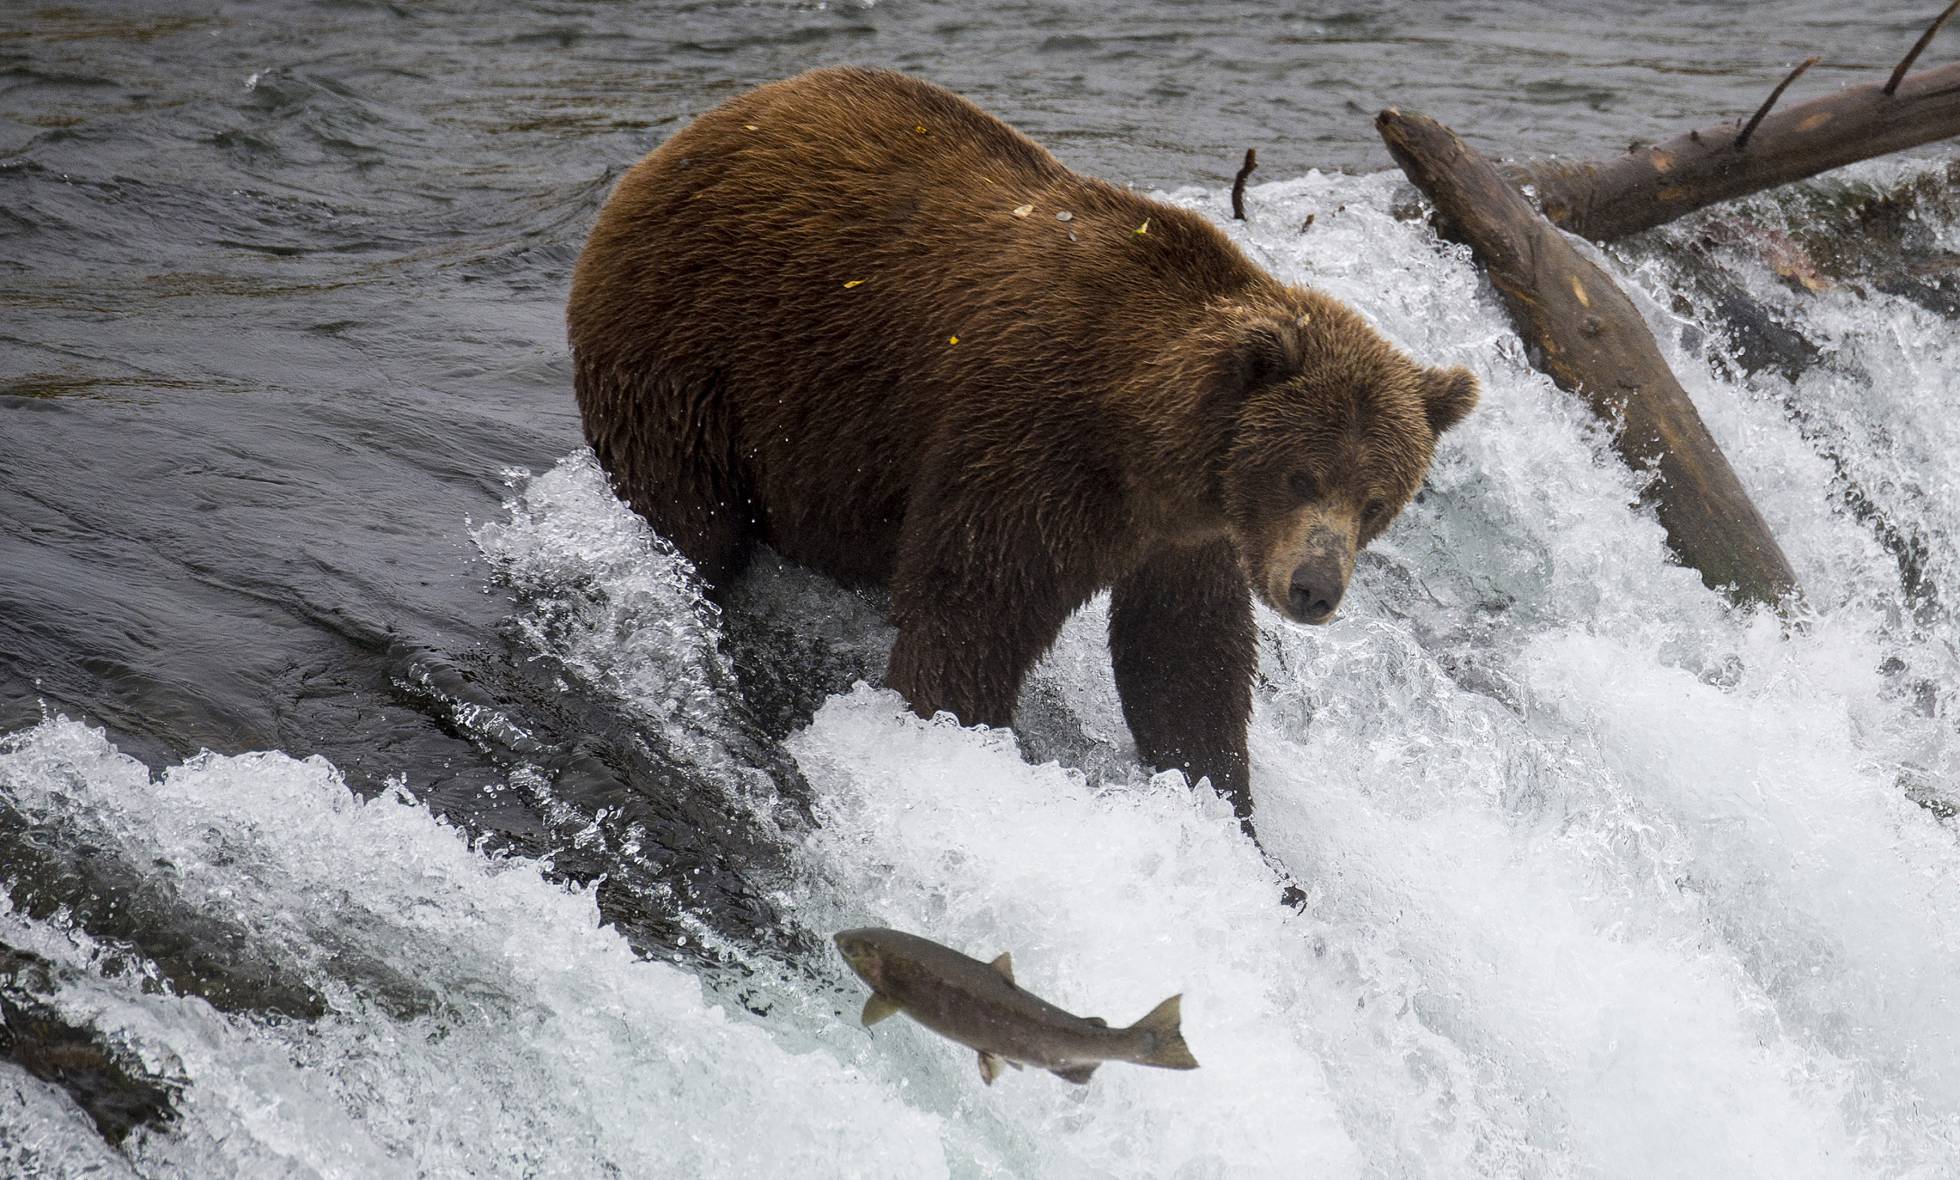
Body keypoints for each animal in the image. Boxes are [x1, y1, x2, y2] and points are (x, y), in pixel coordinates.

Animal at [564, 64, 1473, 819]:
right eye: (1300, 475)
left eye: (1376, 500)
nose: (1315, 588)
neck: (1146, 441)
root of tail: (676, 144)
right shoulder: (1032, 441)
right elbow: (973, 611)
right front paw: (951, 735)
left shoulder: (1186, 534)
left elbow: (1184, 661)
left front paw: (1230, 812)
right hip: (696, 347)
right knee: (689, 514)